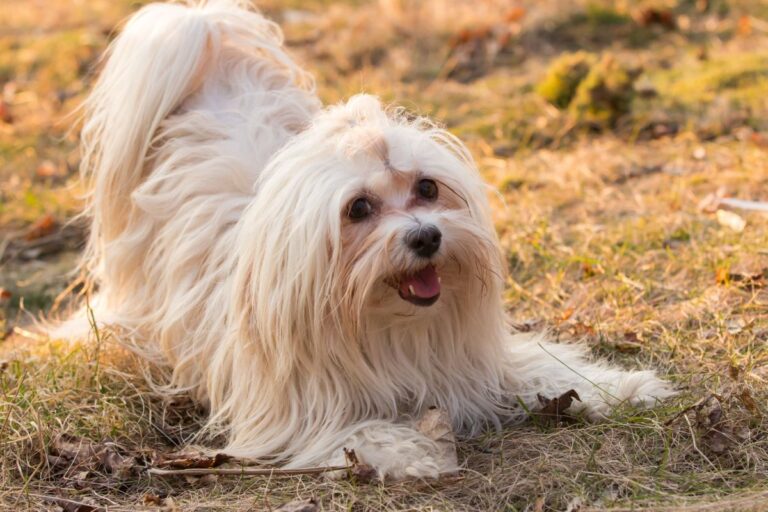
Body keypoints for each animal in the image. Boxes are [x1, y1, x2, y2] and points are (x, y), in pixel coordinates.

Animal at [67, 0, 680, 480]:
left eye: (427, 187)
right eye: (358, 208)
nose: (426, 237)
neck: (387, 325)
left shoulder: (480, 361)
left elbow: (551, 369)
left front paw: (624, 387)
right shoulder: (296, 410)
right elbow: (357, 429)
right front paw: (414, 450)